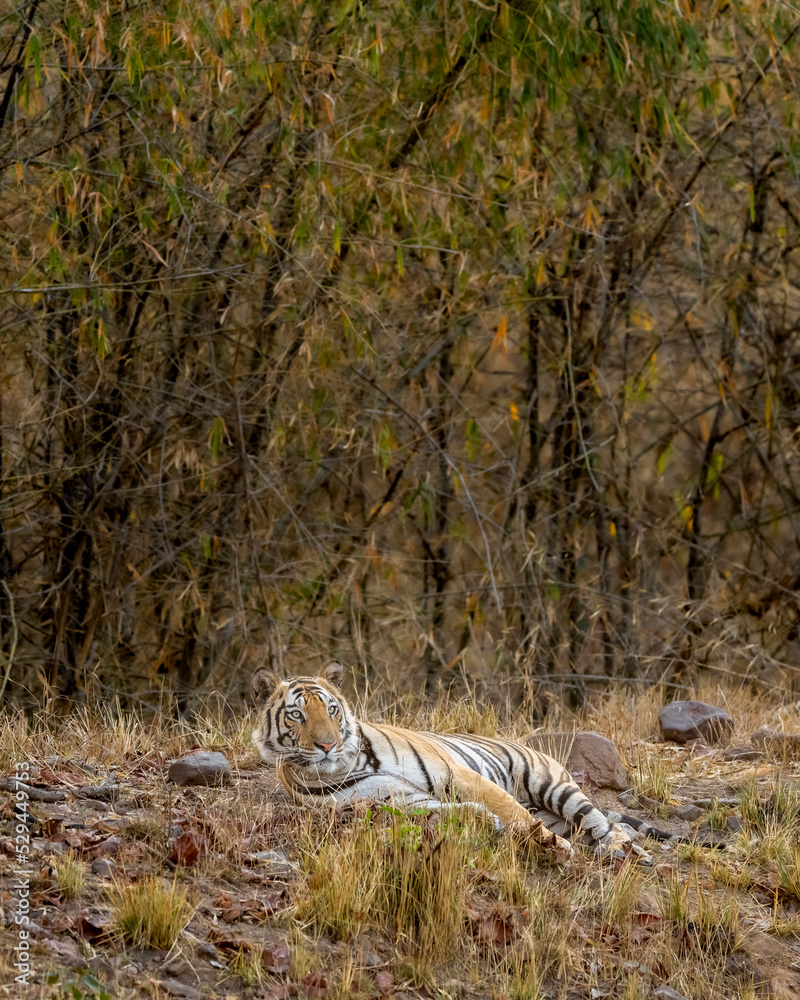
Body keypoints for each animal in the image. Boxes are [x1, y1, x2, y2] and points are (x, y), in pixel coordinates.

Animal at [251, 660, 675, 864]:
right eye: (297, 715)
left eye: (332, 709)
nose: (327, 745)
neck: (350, 764)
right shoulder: (394, 799)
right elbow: (449, 813)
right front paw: (485, 822)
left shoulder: (454, 773)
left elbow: (507, 809)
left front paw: (546, 846)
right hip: (553, 808)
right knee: (583, 829)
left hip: (552, 784)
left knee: (600, 821)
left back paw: (625, 851)